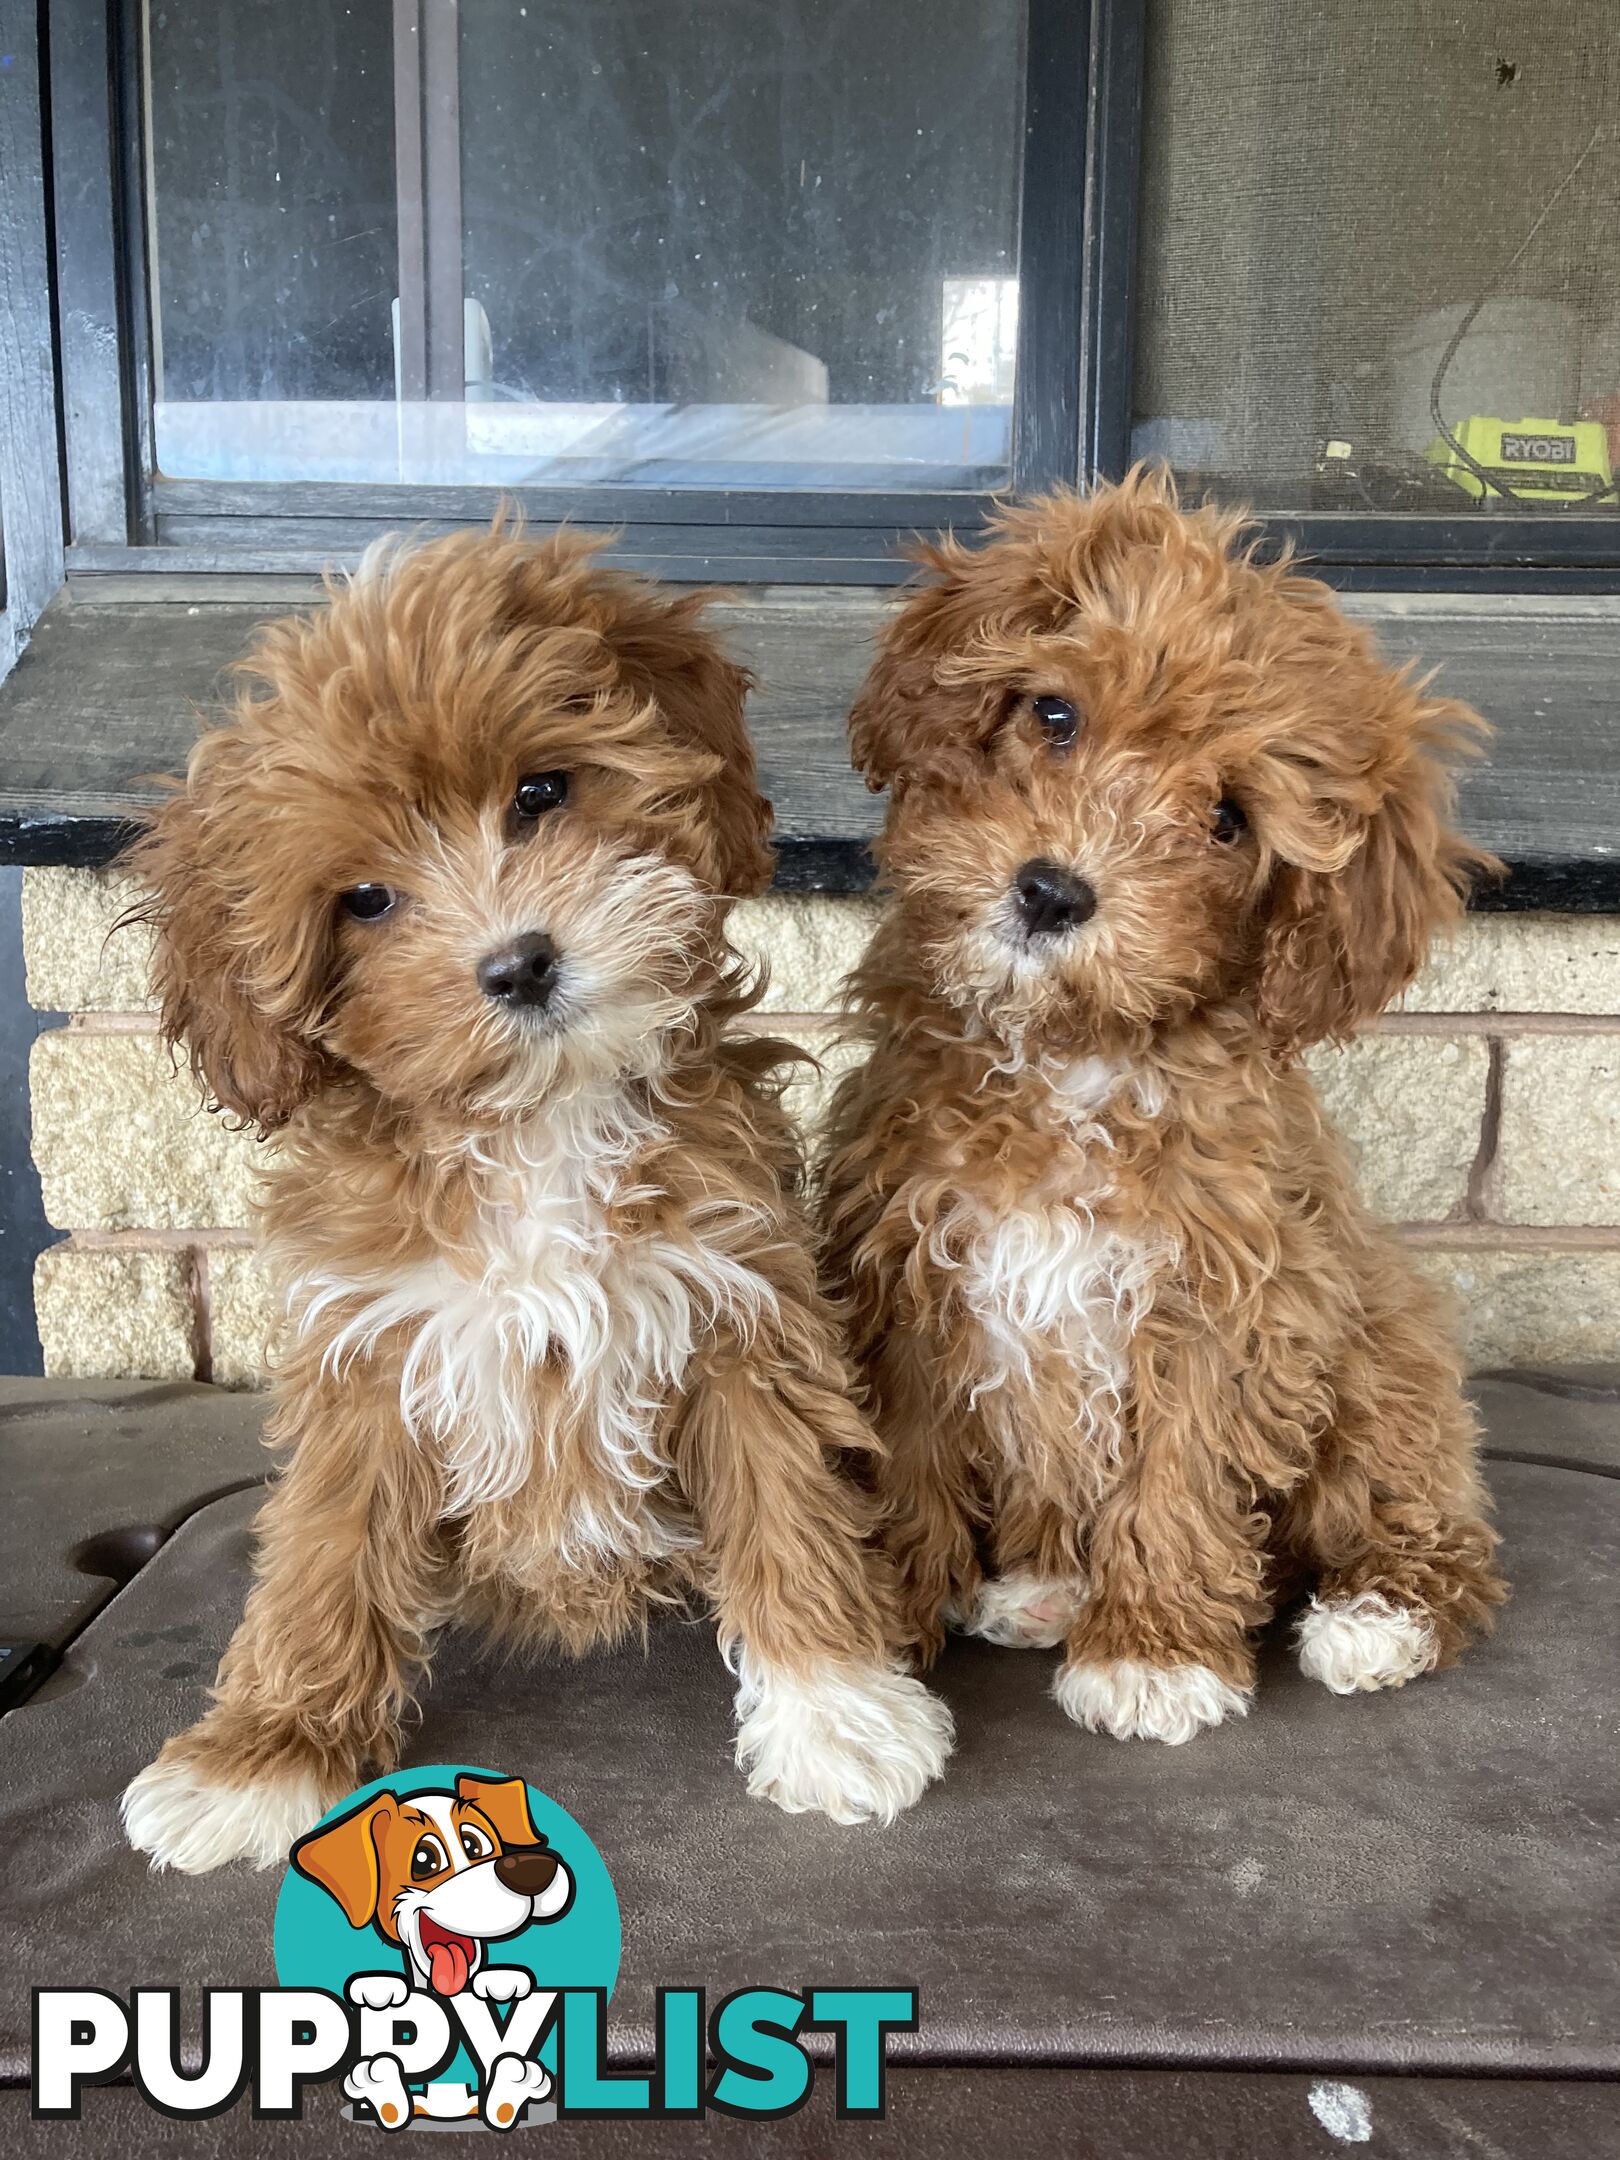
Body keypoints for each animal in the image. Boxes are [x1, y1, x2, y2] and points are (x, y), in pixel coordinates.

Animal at [123, 531, 950, 1866]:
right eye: (364, 900)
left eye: (541, 792)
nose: (519, 963)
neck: (537, 1126)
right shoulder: (370, 1346)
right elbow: (325, 1554)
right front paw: (262, 1757)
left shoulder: (740, 1305)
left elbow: (789, 1501)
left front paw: (837, 1715)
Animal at [825, 468, 1512, 1736]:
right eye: (1054, 716)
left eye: (1229, 819)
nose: (1051, 892)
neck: (1071, 1057)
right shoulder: (908, 1266)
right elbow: (906, 1455)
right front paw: (886, 1617)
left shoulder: (1232, 1299)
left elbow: (1180, 1477)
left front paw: (1154, 1654)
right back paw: (1042, 1582)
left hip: (1385, 1357)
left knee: (1425, 1523)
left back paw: (1379, 1616)